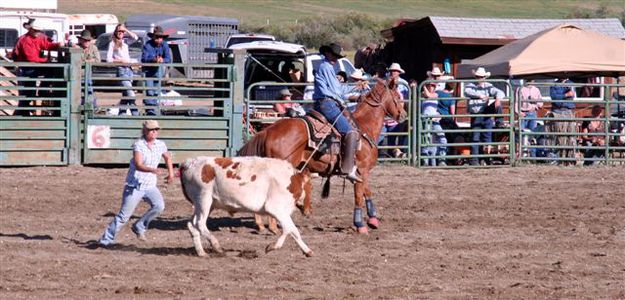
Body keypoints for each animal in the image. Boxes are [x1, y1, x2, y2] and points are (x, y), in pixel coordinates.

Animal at [179, 156, 310, 256]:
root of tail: (189, 163)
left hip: (206, 204)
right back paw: (216, 246)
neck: (291, 180)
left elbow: (293, 230)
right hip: (203, 199)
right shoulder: (276, 209)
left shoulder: (283, 212)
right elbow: (289, 229)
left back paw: (201, 252)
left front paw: (307, 251)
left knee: (191, 224)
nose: (309, 210)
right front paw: (272, 246)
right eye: (310, 187)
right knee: (200, 223)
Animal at [238, 78, 404, 233]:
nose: (403, 115)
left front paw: (373, 220)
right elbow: (359, 195)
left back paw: (262, 225)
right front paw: (360, 225)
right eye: (397, 96)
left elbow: (367, 192)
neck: (364, 127)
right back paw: (273, 227)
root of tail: (268, 131)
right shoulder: (361, 169)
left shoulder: (362, 173)